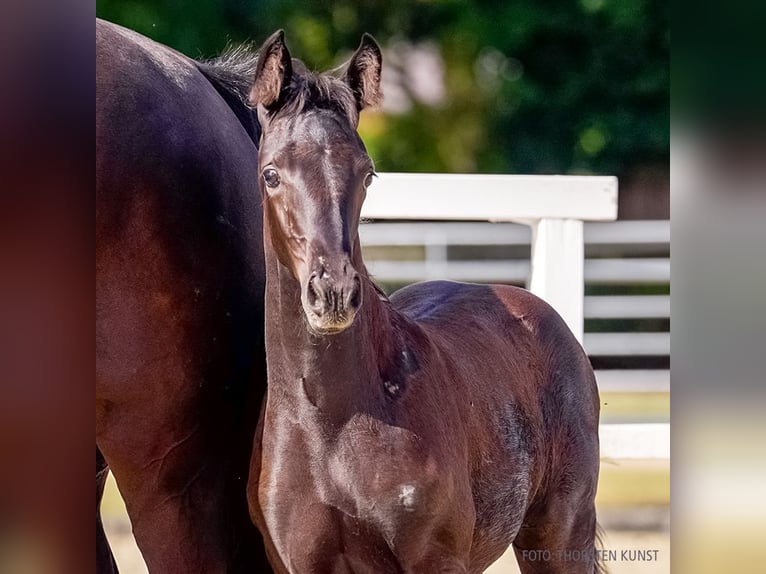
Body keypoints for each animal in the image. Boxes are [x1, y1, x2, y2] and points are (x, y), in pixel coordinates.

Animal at [246, 31, 603, 573]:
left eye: (367, 174)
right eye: (271, 174)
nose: (333, 294)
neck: (330, 427)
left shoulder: (436, 559)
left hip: (559, 537)